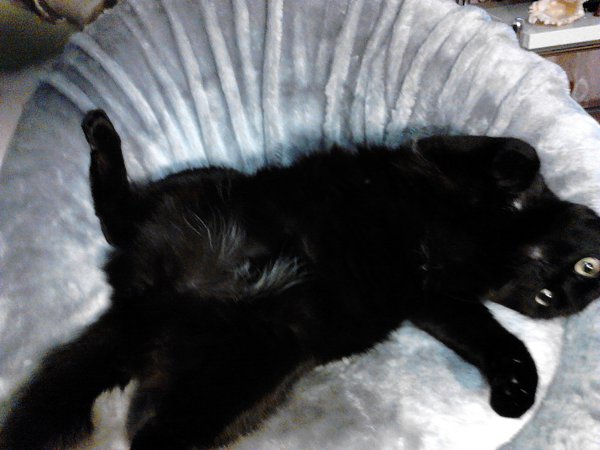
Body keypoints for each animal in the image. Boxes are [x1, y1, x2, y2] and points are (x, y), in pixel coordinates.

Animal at [1, 109, 600, 450]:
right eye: (587, 266)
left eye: (551, 295)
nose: (556, 287)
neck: (496, 247)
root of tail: (156, 303)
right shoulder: (432, 155)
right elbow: (520, 150)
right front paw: (513, 177)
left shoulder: (438, 298)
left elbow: (492, 337)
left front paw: (516, 388)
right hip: (207, 187)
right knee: (115, 216)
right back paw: (100, 130)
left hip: (242, 378)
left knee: (152, 433)